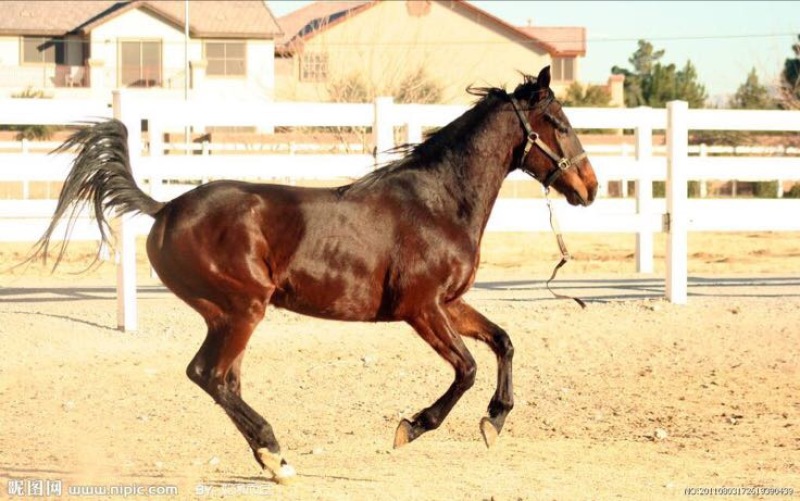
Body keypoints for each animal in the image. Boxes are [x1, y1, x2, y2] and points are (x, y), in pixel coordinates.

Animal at [28, 66, 597, 482]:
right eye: (561, 124)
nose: (589, 188)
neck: (437, 203)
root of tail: (164, 208)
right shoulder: (421, 309)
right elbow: (467, 369)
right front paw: (411, 427)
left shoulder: (450, 303)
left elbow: (502, 342)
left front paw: (493, 422)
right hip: (242, 309)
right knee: (208, 374)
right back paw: (276, 456)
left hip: (228, 316)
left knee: (224, 380)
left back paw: (270, 459)